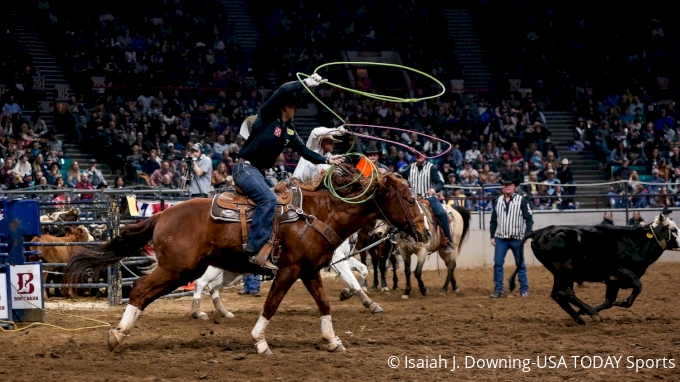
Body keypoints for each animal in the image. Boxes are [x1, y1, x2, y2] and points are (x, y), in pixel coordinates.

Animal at [62, 167, 424, 356]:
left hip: (187, 270)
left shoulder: (309, 270)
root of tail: (163, 214)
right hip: (178, 269)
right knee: (139, 289)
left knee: (153, 291)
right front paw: (260, 341)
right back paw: (118, 335)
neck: (319, 213)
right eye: (408, 200)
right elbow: (272, 303)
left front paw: (333, 340)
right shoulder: (290, 269)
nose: (422, 230)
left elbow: (324, 303)